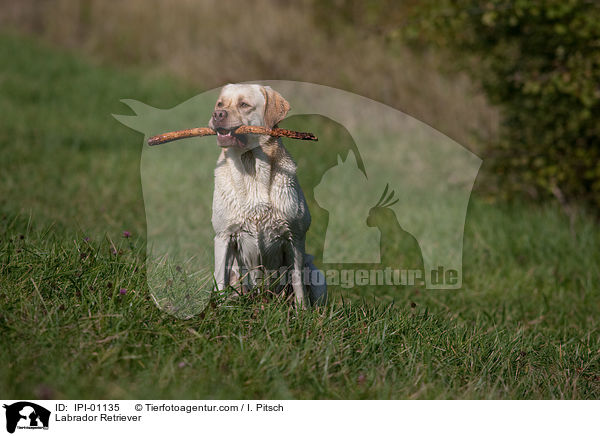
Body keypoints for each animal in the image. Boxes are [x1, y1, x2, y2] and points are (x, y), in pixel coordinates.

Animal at [207, 82, 328, 306]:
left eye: (244, 104)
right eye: (220, 103)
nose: (217, 114)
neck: (251, 166)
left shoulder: (295, 237)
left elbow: (298, 284)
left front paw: (302, 311)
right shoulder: (224, 235)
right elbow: (220, 281)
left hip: (316, 274)